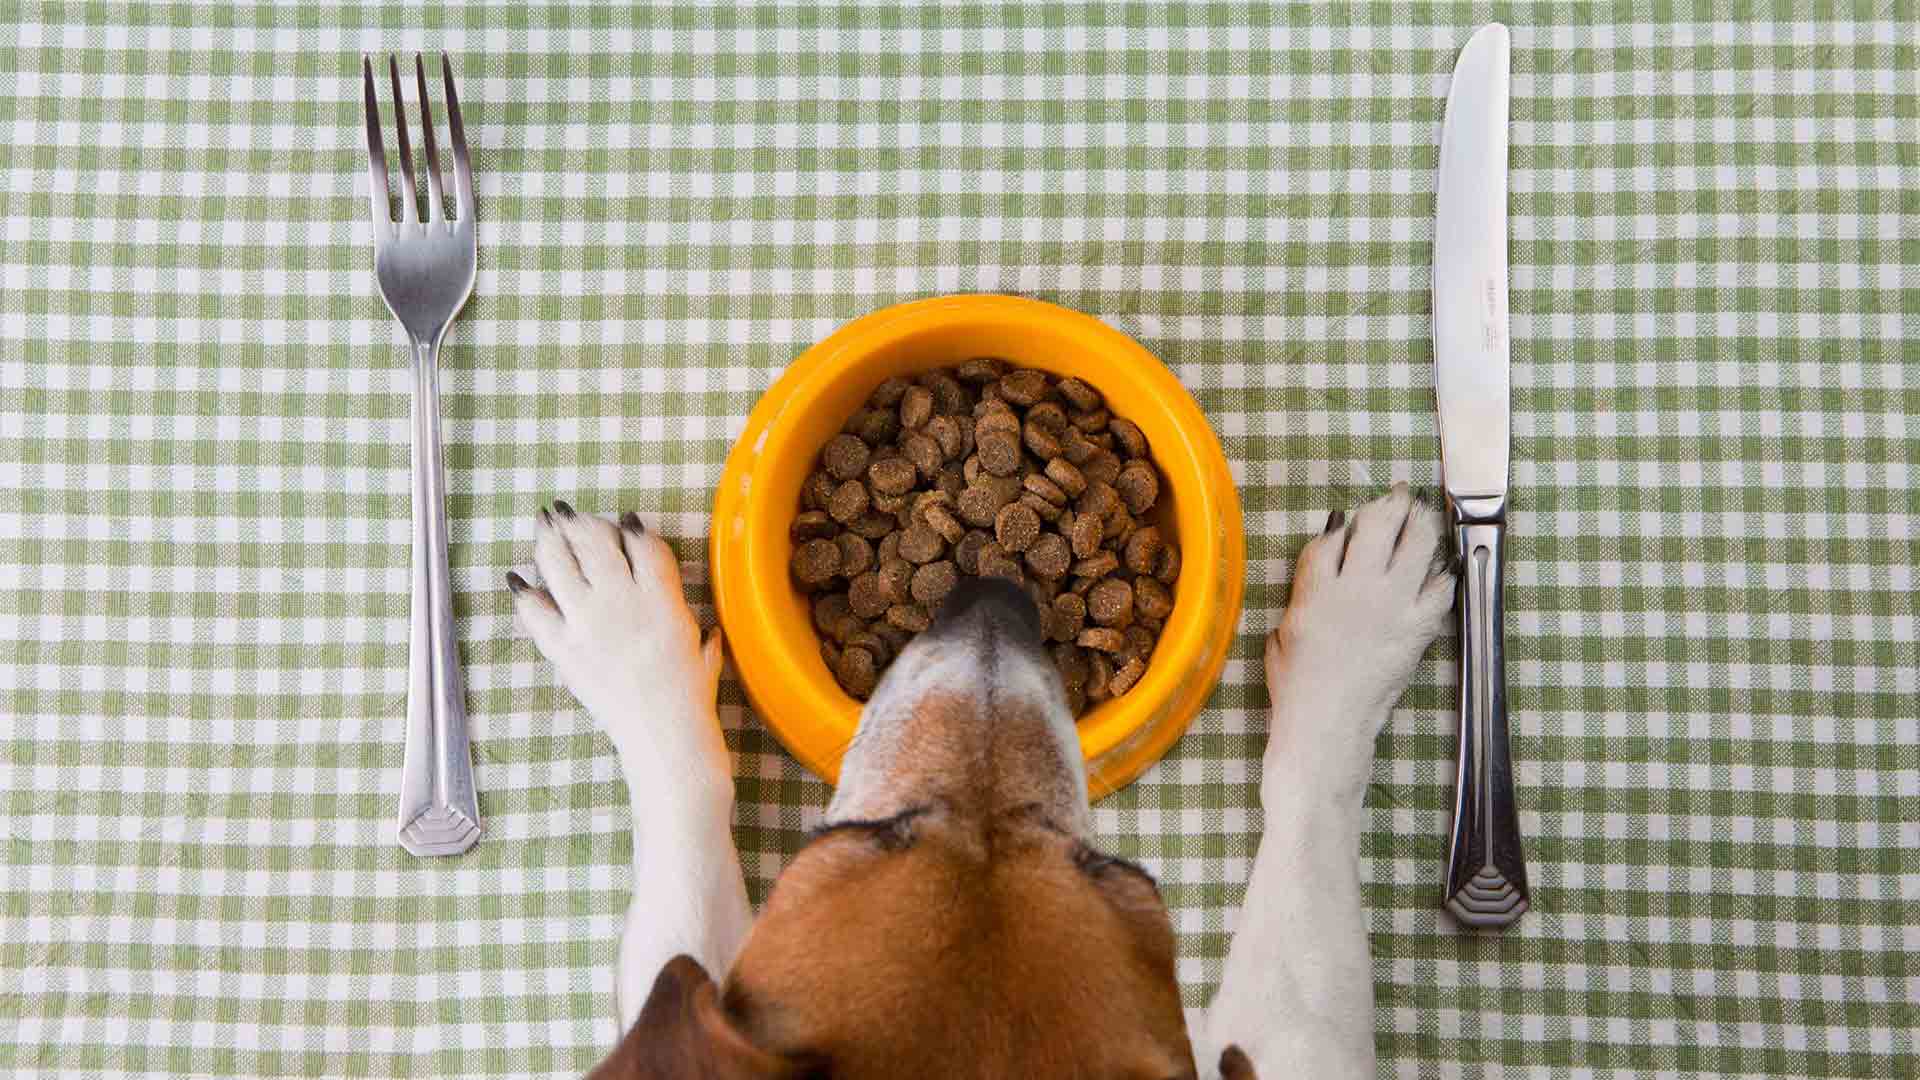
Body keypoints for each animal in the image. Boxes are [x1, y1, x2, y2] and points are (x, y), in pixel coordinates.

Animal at [510, 480, 1451, 1076]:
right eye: (876, 830)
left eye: (1105, 868)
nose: (993, 595)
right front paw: (622, 627)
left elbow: (1307, 813)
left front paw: (1358, 624)